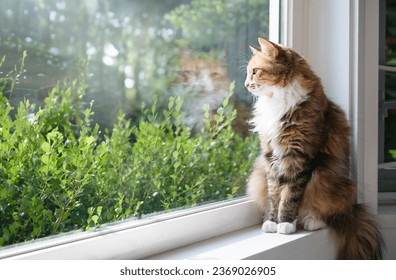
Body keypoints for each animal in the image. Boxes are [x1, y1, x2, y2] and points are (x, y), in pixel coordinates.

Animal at [244, 37, 384, 260]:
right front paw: (272, 222)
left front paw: (285, 223)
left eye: (255, 72)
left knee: (325, 210)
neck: (278, 99)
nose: (246, 84)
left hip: (325, 174)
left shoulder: (299, 156)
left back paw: (311, 220)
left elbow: (290, 195)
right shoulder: (270, 157)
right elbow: (275, 195)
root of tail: (352, 208)